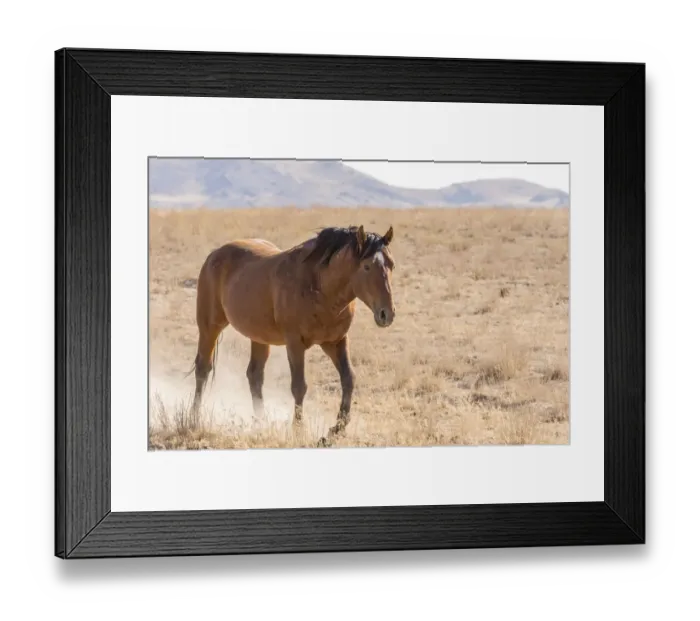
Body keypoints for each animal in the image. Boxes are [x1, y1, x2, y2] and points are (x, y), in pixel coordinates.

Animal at [189, 224, 396, 446]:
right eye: (367, 266)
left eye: (391, 265)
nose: (387, 313)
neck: (319, 287)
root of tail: (215, 254)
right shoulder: (295, 344)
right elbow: (299, 386)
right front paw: (298, 430)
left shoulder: (335, 342)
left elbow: (348, 378)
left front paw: (336, 429)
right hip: (210, 327)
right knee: (203, 369)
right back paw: (194, 419)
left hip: (259, 337)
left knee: (254, 375)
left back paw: (261, 423)